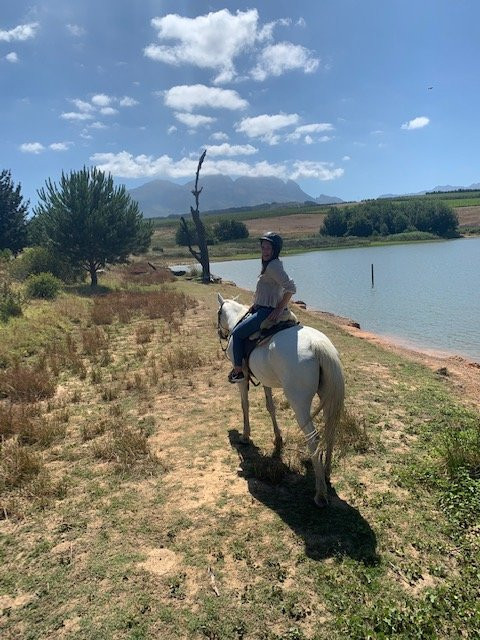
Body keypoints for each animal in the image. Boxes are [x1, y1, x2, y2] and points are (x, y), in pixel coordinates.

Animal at [218, 292, 344, 508]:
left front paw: (245, 435)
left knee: (313, 438)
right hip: (327, 398)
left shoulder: (242, 379)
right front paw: (278, 438)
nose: (221, 334)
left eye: (218, 314)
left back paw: (320, 493)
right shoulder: (265, 379)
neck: (237, 321)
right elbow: (270, 407)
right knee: (331, 430)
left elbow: (245, 405)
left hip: (299, 404)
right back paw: (326, 472)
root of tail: (318, 346)